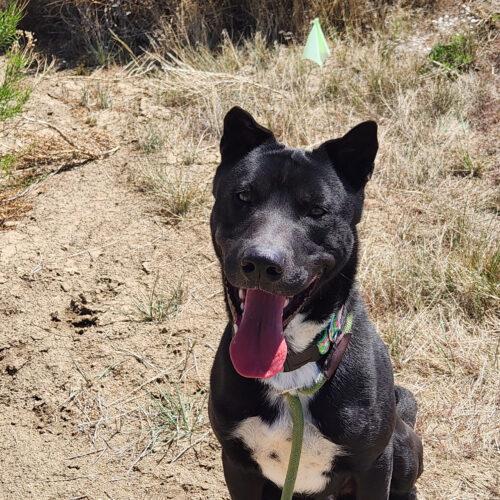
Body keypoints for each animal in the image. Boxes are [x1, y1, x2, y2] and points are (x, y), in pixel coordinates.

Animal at [209, 108, 424, 500]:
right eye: (243, 195)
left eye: (317, 210)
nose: (262, 262)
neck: (290, 374)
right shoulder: (236, 463)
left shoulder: (374, 466)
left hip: (400, 448)